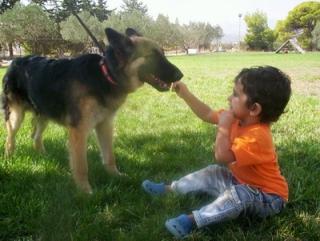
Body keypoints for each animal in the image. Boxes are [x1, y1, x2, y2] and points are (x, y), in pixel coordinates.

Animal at [1, 27, 182, 194]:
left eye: (163, 54)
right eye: (153, 56)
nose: (180, 75)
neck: (106, 75)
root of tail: (15, 61)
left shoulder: (105, 125)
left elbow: (109, 156)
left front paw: (115, 175)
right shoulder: (79, 131)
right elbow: (81, 165)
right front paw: (85, 191)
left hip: (44, 114)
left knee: (36, 136)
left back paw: (43, 155)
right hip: (16, 117)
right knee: (10, 138)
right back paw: (9, 158)